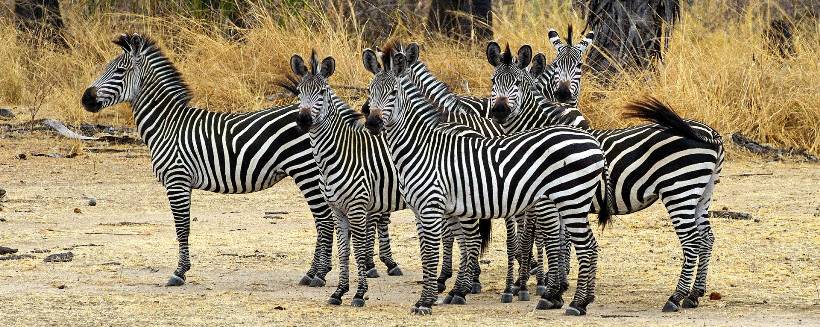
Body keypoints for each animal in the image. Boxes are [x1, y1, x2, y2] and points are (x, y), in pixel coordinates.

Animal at [83, 33, 350, 290]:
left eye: (119, 71)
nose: (85, 99)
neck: (166, 125)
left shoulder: (176, 180)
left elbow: (182, 227)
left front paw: (179, 273)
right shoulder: (183, 183)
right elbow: (184, 226)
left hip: (306, 172)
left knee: (325, 221)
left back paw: (318, 275)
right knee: (324, 221)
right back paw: (314, 273)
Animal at [364, 44, 608, 316]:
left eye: (394, 93)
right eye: (369, 91)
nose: (371, 123)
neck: (421, 147)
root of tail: (592, 141)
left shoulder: (431, 207)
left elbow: (432, 252)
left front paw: (426, 301)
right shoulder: (421, 210)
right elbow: (429, 252)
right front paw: (431, 296)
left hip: (571, 199)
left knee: (586, 246)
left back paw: (575, 303)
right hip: (571, 201)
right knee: (589, 245)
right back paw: (578, 300)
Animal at [490, 39, 720, 312]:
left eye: (516, 83)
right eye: (493, 81)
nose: (499, 110)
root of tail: (710, 133)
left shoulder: (547, 200)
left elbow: (549, 241)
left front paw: (550, 291)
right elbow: (559, 241)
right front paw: (559, 290)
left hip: (679, 189)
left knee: (693, 241)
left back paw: (675, 297)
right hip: (702, 193)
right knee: (707, 238)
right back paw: (694, 294)